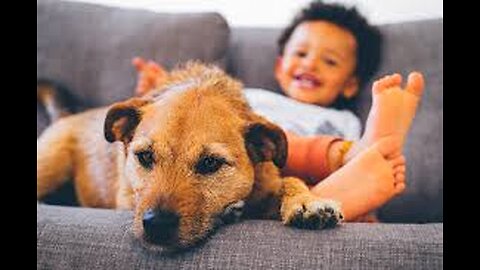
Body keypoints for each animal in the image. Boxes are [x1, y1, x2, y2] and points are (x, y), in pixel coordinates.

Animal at [38, 61, 344, 249]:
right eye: (145, 156)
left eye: (210, 163)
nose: (156, 225)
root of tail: (67, 116)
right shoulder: (126, 201)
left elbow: (290, 180)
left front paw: (307, 202)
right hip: (50, 166)